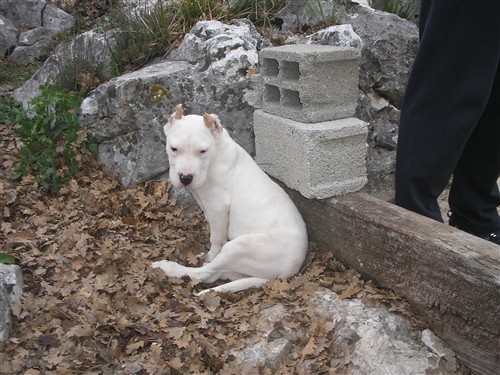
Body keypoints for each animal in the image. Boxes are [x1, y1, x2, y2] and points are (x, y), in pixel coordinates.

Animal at [152, 104, 308, 296]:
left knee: (204, 273)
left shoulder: (218, 208)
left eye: (203, 151)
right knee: (215, 275)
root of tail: (287, 273)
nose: (185, 178)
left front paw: (210, 254)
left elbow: (216, 239)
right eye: (173, 149)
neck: (216, 154)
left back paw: (169, 267)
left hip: (239, 246)